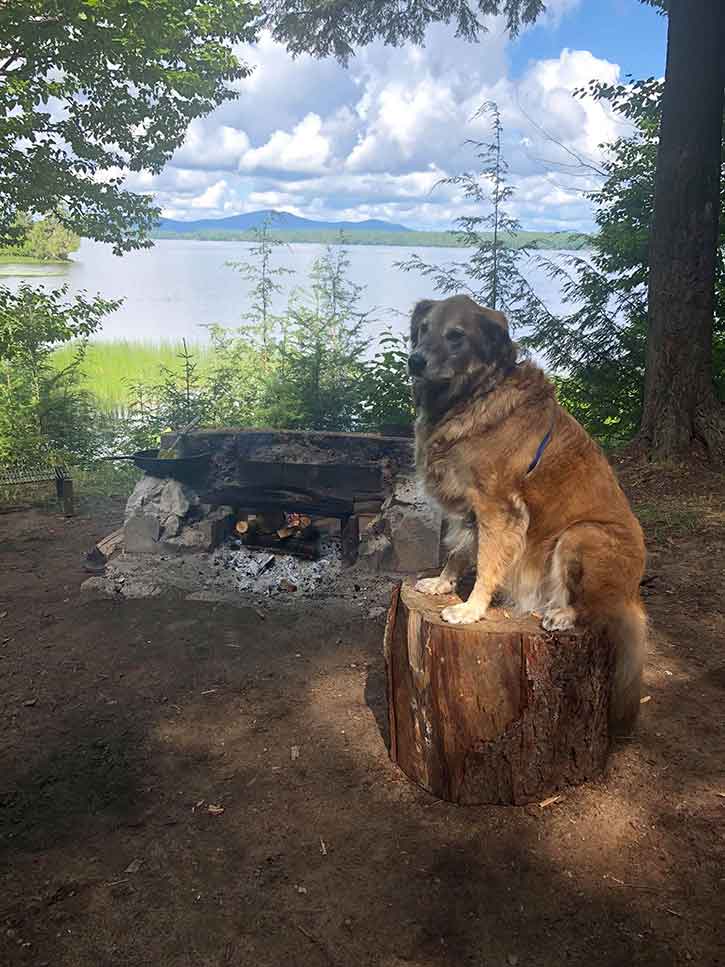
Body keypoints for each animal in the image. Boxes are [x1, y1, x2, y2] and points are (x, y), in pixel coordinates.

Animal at [408, 294, 644, 732]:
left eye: (456, 336)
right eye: (424, 329)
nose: (415, 361)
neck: (474, 395)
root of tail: (633, 595)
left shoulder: (497, 508)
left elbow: (486, 563)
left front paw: (471, 609)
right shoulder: (469, 507)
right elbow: (460, 549)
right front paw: (443, 583)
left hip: (581, 535)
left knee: (596, 609)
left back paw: (562, 613)